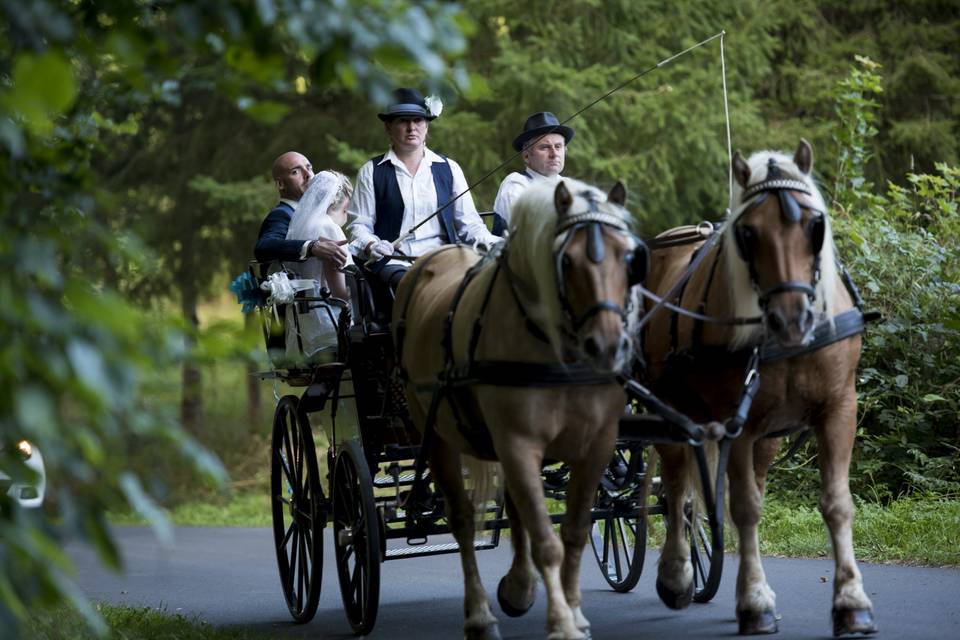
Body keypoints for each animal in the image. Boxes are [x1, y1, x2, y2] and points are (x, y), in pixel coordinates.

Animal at [392, 178, 644, 636]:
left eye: (628, 256)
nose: (607, 345)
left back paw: (519, 588)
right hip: (435, 434)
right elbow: (547, 541)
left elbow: (574, 532)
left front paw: (574, 612)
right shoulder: (518, 443)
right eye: (568, 260)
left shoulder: (597, 445)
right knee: (462, 519)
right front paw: (562, 622)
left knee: (515, 507)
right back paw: (479, 615)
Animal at [636, 140, 876, 636]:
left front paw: (851, 602)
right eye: (747, 233)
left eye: (816, 225)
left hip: (764, 431)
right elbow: (744, 508)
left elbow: (837, 503)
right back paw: (676, 575)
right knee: (676, 486)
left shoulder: (838, 408)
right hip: (669, 408)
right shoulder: (737, 423)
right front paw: (754, 603)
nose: (793, 319)